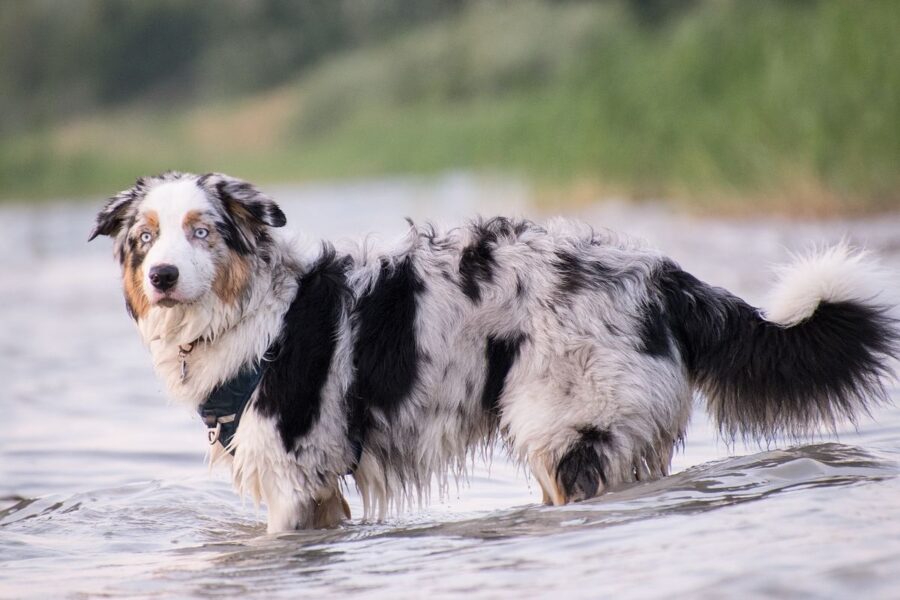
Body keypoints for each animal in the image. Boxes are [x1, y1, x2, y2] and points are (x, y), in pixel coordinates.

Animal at [88, 171, 896, 532]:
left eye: (202, 231)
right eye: (145, 239)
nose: (162, 277)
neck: (256, 315)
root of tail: (659, 274)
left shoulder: (290, 478)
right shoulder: (318, 489)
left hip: (570, 434)